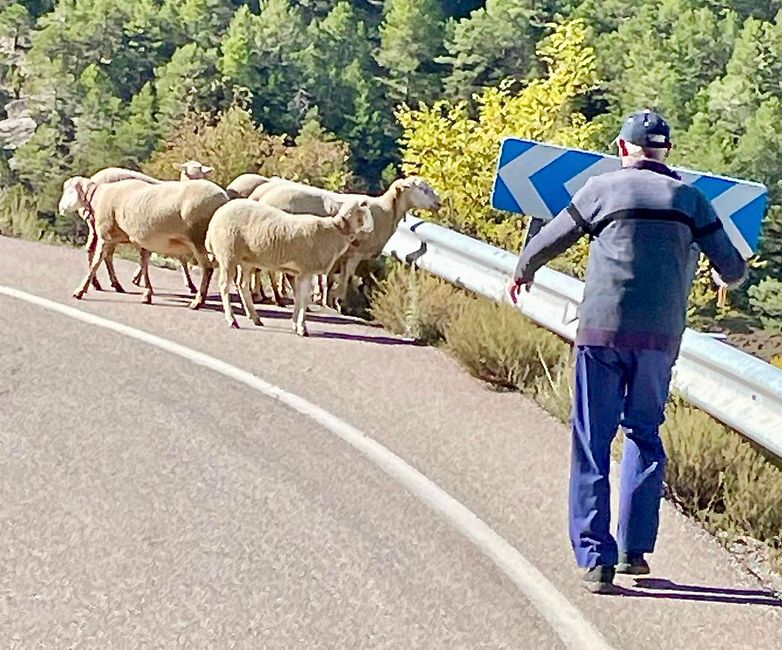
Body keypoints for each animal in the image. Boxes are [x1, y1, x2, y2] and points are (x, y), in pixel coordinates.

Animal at [61, 178, 228, 307]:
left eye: (69, 190)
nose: (61, 208)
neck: (98, 196)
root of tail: (223, 197)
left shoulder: (105, 235)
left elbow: (97, 261)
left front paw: (80, 291)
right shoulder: (138, 239)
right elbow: (143, 263)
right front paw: (146, 293)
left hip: (198, 240)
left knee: (208, 269)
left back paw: (197, 301)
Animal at [205, 198, 373, 336]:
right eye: (364, 212)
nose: (371, 230)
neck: (334, 232)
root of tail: (217, 215)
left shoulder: (301, 273)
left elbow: (299, 298)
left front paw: (295, 324)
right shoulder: (306, 270)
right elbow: (303, 299)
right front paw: (302, 328)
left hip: (246, 260)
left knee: (242, 284)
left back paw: (255, 317)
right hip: (228, 254)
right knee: (224, 286)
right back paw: (232, 320)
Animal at [254, 176, 441, 311]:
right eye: (422, 188)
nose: (438, 202)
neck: (387, 211)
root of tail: (265, 198)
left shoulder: (344, 255)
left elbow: (334, 278)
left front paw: (330, 300)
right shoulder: (356, 254)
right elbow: (348, 277)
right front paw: (340, 302)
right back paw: (278, 297)